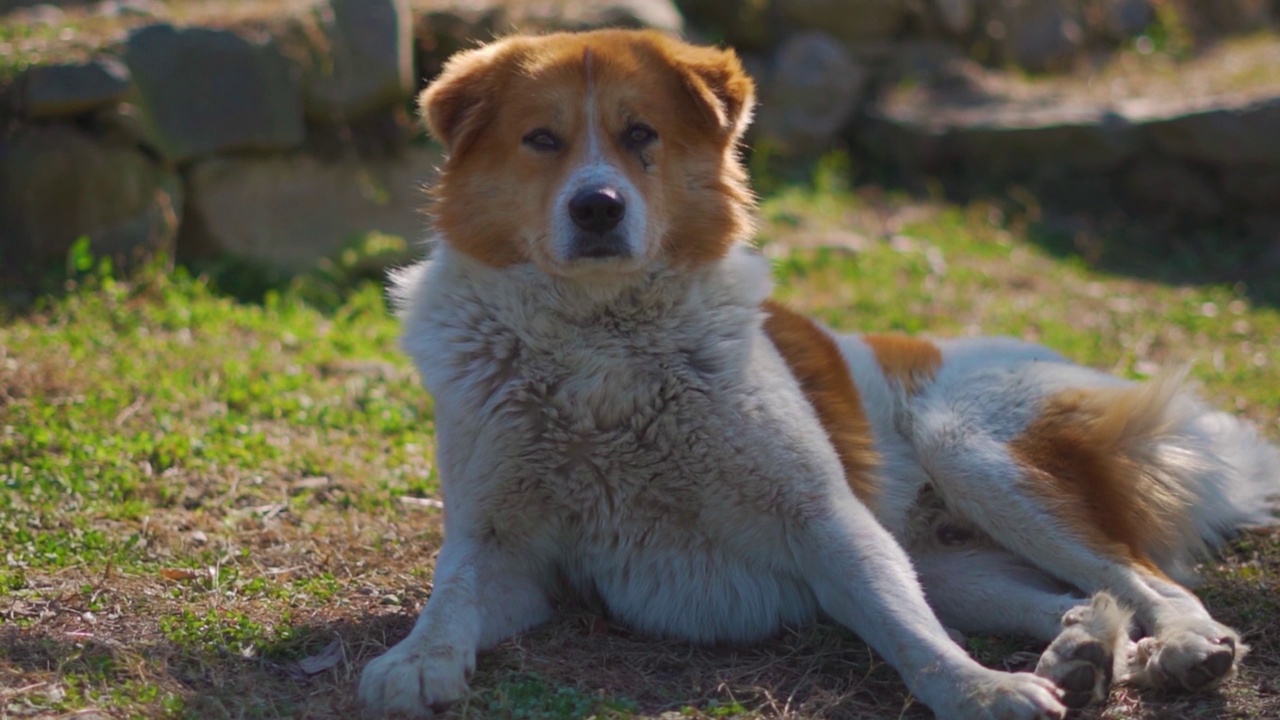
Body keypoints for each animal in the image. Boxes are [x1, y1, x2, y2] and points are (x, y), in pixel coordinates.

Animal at [358, 28, 1280, 717]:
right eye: (541, 140)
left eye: (640, 135)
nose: (597, 207)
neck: (601, 347)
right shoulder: (504, 548)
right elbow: (452, 593)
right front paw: (417, 660)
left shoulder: (827, 519)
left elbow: (908, 632)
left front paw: (979, 690)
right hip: (953, 565)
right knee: (1072, 600)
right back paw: (1088, 654)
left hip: (974, 449)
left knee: (1149, 579)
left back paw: (1185, 648)